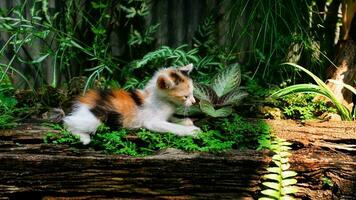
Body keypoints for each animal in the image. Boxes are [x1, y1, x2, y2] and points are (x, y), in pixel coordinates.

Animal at [63, 63, 200, 144]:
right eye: (185, 96)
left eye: (192, 93)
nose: (193, 101)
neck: (164, 101)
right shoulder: (151, 122)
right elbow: (171, 127)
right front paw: (192, 131)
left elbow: (171, 118)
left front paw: (185, 121)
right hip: (96, 119)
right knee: (67, 123)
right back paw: (83, 138)